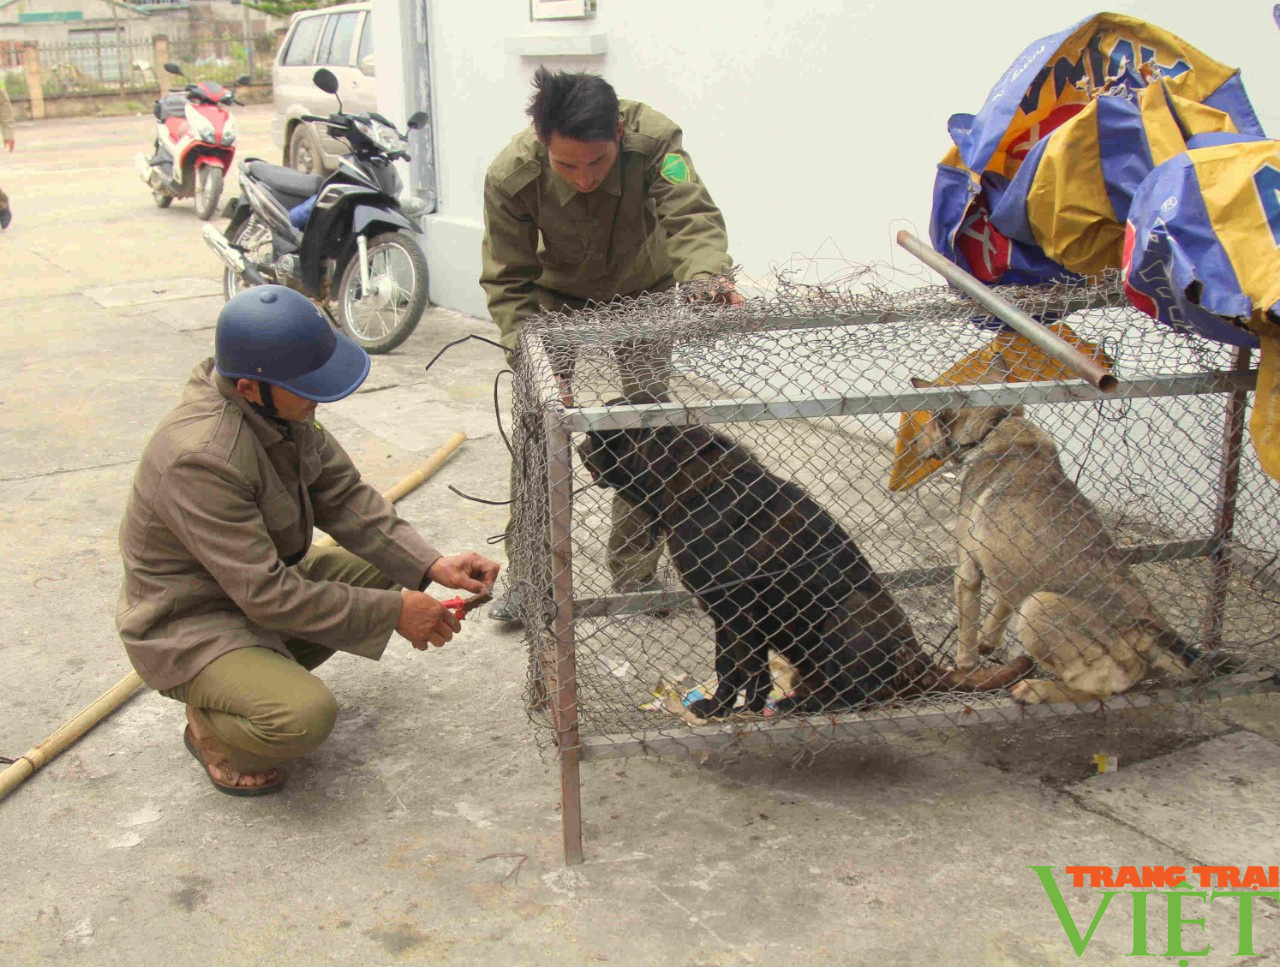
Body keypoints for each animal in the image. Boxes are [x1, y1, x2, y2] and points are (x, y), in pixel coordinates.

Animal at [581, 402, 1029, 717]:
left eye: (595, 436)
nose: (581, 445)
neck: (693, 485)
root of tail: (920, 665)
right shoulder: (748, 618)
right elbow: (755, 671)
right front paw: (745, 708)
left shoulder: (731, 610)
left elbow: (730, 666)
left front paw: (717, 709)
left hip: (852, 611)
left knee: (850, 694)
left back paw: (801, 705)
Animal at [906, 381, 1213, 706]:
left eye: (929, 421)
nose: (915, 445)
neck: (996, 425)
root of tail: (1146, 629)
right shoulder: (1007, 565)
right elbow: (1002, 604)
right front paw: (988, 640)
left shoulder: (967, 571)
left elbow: (967, 639)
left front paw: (966, 666)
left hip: (1038, 606)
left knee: (1099, 688)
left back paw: (1037, 689)